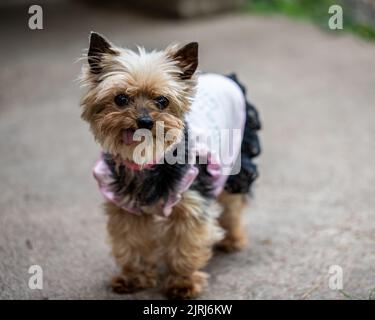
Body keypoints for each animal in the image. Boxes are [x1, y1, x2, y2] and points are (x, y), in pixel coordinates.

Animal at [80, 31, 262, 298]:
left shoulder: (190, 205)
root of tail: (228, 77)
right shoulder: (126, 207)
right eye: (121, 98)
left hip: (236, 160)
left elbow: (184, 248)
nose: (145, 121)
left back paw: (233, 239)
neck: (146, 160)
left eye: (162, 101)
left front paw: (182, 283)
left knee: (233, 204)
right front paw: (134, 278)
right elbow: (132, 244)